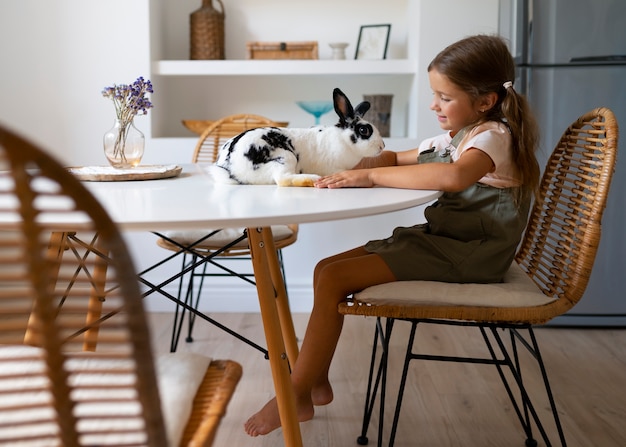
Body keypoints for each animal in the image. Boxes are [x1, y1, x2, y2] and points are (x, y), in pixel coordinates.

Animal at [212, 87, 382, 187]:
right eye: (364, 130)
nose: (382, 146)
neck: (343, 140)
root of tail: (230, 168)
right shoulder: (334, 168)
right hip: (285, 158)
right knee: (283, 179)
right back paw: (311, 179)